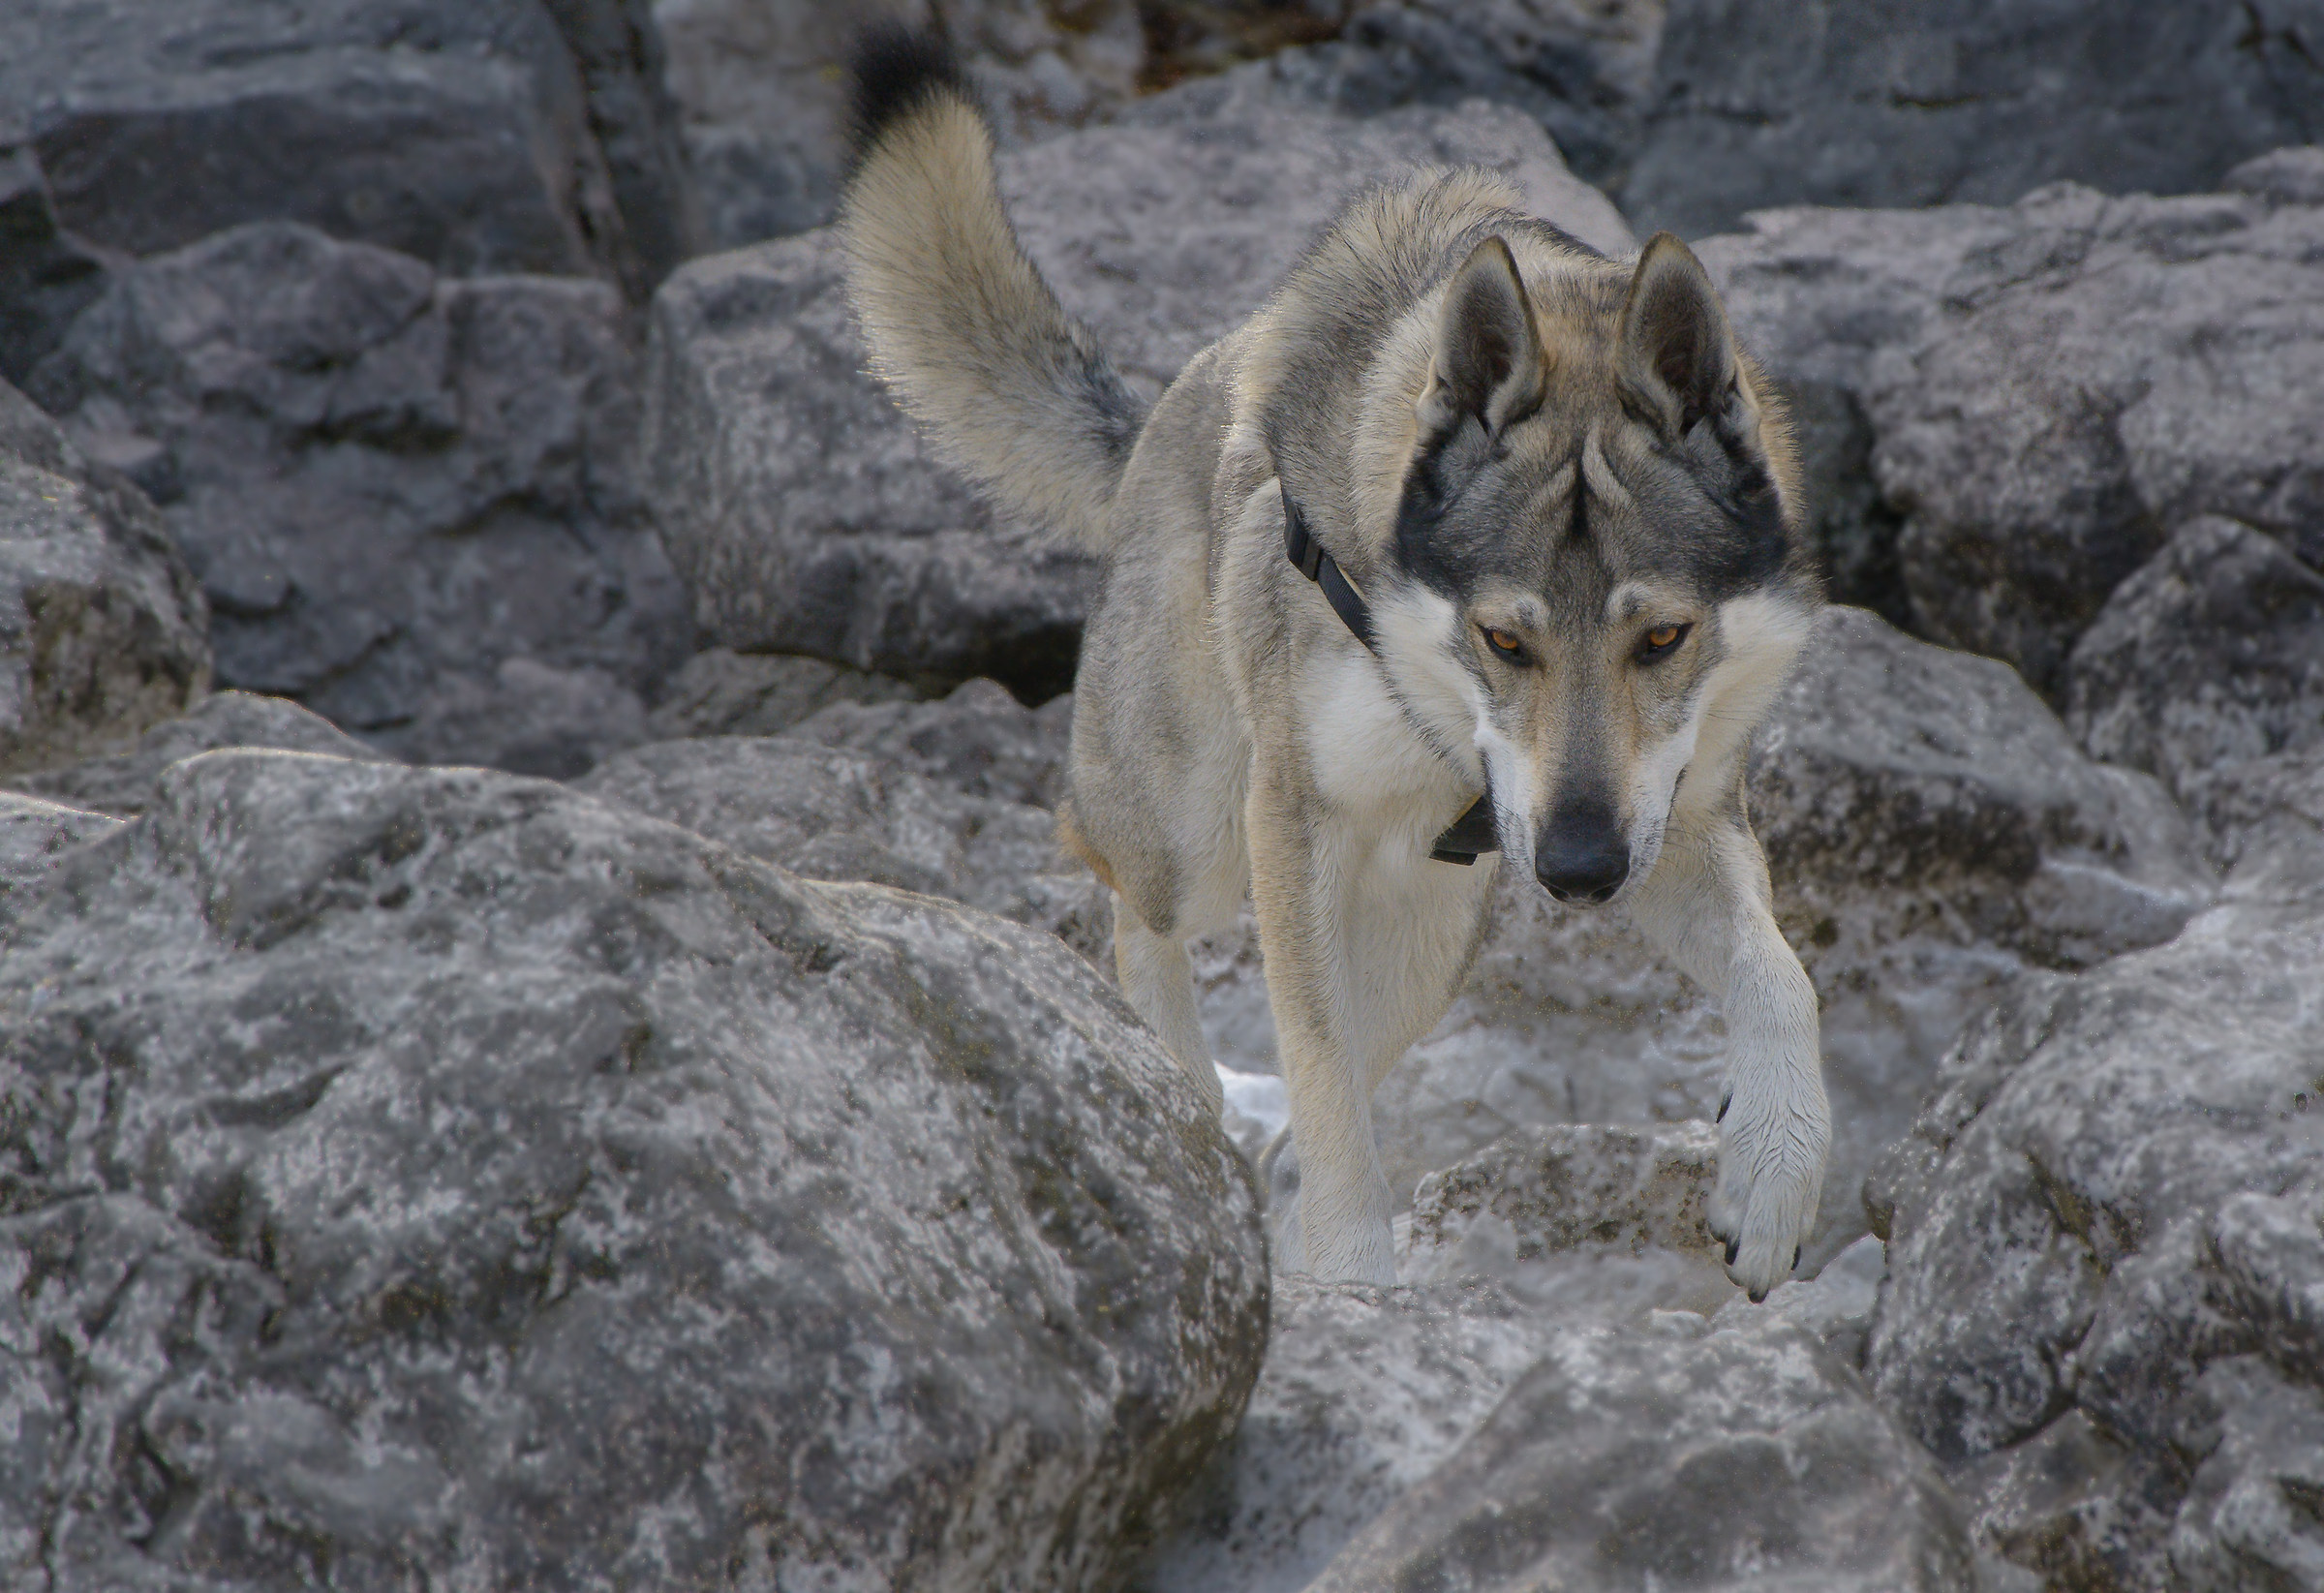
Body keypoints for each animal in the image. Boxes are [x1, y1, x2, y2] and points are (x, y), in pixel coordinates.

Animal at [838, 29, 1829, 1298]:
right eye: (1505, 640)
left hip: (1427, 936)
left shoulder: (1674, 822)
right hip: (1202, 843)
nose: (1575, 874)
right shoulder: (1295, 818)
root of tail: (1160, 411)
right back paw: (1175, 1099)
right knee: (1123, 900)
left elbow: (1782, 975)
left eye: (1662, 639)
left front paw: (1775, 1175)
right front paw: (1358, 1283)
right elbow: (1323, 1087)